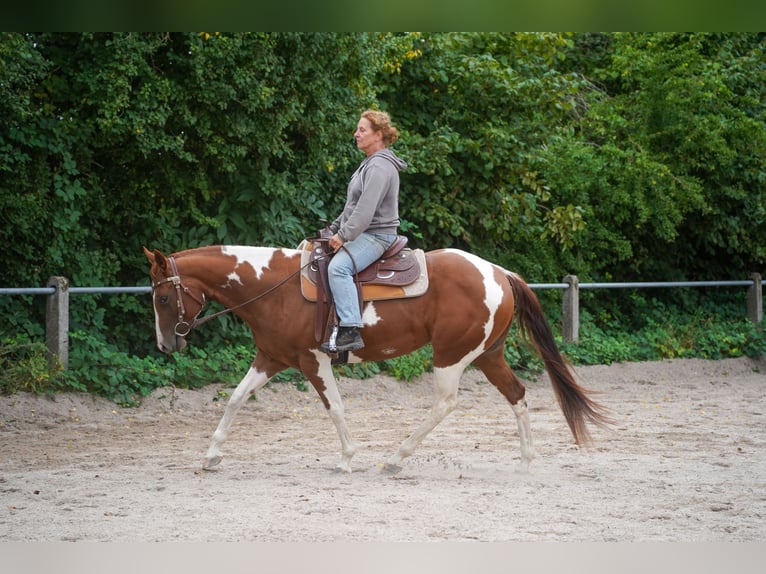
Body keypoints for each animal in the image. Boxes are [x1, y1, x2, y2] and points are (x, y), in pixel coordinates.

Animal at [144, 244, 612, 473]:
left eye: (163, 297)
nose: (166, 345)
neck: (276, 287)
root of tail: (499, 273)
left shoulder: (314, 361)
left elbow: (335, 408)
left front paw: (347, 458)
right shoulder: (270, 358)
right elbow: (236, 399)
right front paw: (211, 456)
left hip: (451, 356)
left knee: (445, 404)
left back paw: (396, 458)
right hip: (487, 355)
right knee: (517, 393)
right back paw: (527, 460)